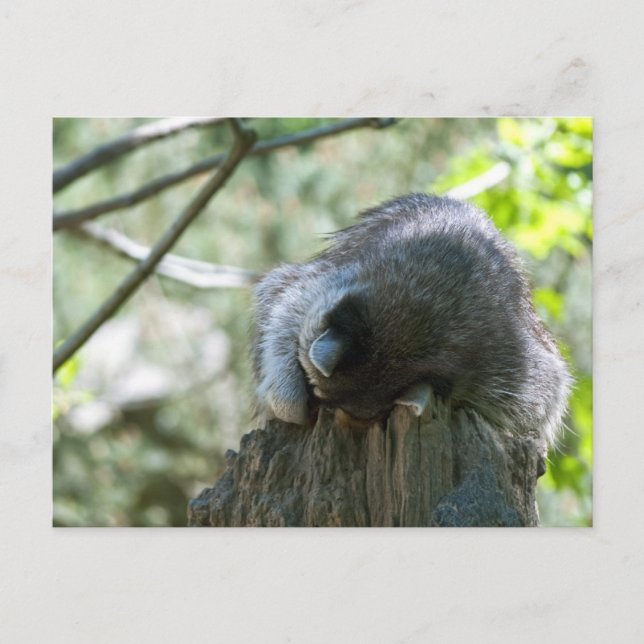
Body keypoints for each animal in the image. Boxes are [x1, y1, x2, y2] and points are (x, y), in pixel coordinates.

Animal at [252, 194, 571, 443]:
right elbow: (284, 300)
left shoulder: (509, 361)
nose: (316, 411)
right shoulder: (335, 276)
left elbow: (542, 401)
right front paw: (286, 393)